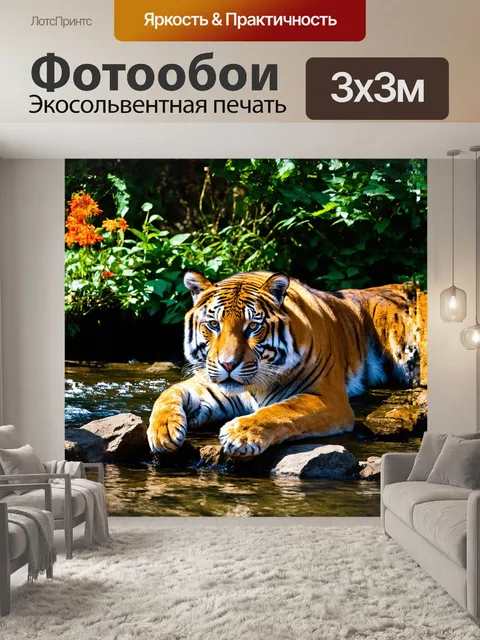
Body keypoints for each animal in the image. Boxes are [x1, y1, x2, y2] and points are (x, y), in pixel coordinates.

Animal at [147, 270, 426, 458]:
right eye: (214, 324)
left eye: (253, 326)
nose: (228, 364)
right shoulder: (208, 382)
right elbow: (168, 393)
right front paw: (163, 431)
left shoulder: (328, 397)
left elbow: (281, 410)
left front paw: (239, 433)